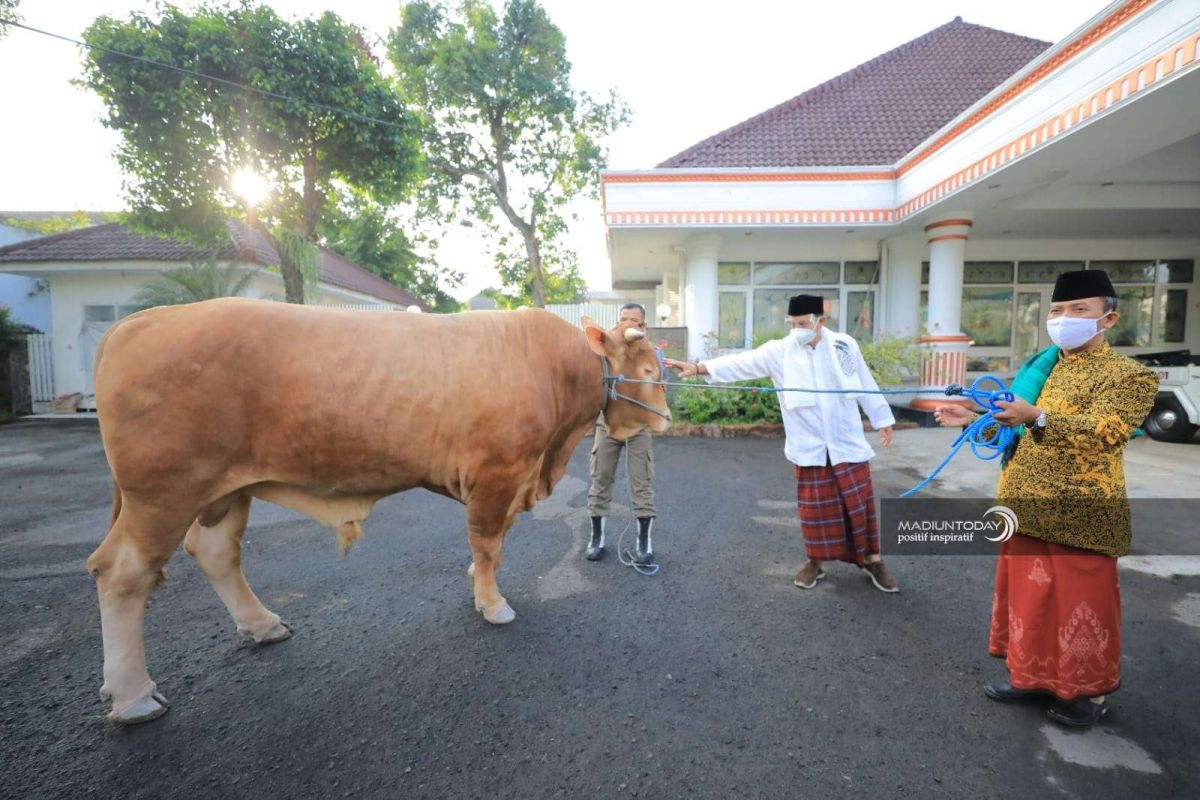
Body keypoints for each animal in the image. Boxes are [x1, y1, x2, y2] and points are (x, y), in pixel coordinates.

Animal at [87, 299, 667, 724]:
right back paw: (134, 695)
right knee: (122, 574)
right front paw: (491, 603)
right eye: (645, 368)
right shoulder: (496, 475)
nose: (664, 419)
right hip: (163, 493)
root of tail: (143, 319)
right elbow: (488, 543)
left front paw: (475, 581)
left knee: (215, 552)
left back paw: (262, 624)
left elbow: (488, 546)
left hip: (224, 490)